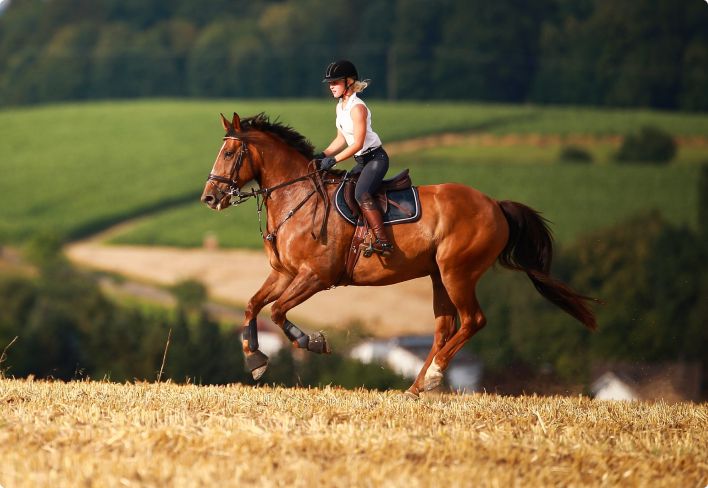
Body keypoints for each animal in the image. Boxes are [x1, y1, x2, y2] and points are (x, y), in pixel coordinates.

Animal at [201, 112, 596, 398]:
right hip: (438, 276)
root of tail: (495, 205)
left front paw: (312, 342)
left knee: (473, 320)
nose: (209, 197)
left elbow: (278, 311)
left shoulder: (315, 276)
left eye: (230, 153)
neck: (297, 199)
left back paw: (434, 376)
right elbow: (253, 305)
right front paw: (255, 359)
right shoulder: (284, 272)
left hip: (457, 272)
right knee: (444, 328)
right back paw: (416, 387)